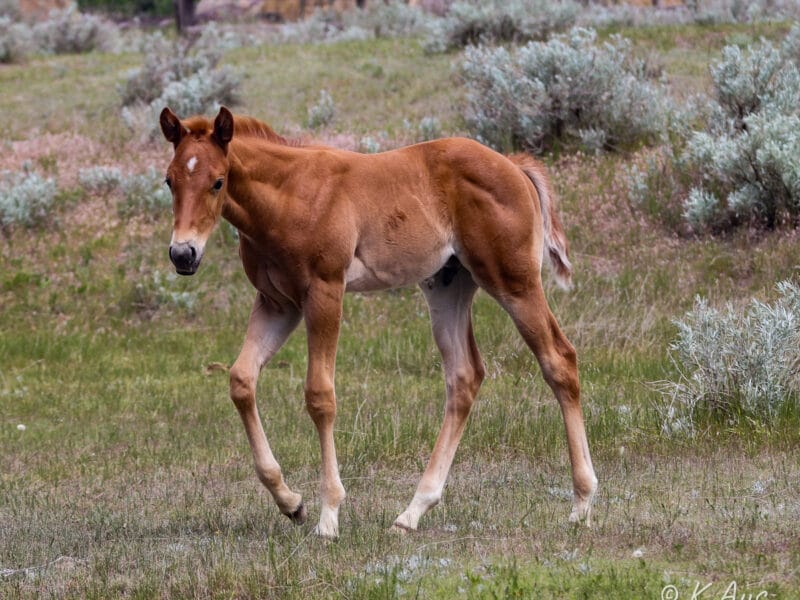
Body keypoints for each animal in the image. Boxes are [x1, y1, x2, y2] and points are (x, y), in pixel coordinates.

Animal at [159, 104, 596, 540]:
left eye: (218, 182)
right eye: (169, 180)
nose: (183, 254)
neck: (288, 197)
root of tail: (514, 166)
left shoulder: (324, 293)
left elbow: (320, 395)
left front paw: (328, 516)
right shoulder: (277, 304)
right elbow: (241, 380)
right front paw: (291, 503)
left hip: (514, 283)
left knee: (559, 359)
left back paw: (581, 503)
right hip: (447, 286)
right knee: (465, 376)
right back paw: (412, 512)